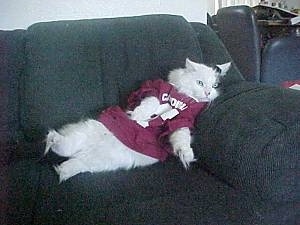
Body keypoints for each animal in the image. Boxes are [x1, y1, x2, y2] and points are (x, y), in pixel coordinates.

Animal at [44, 59, 231, 182]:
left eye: (214, 86)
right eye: (200, 83)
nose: (208, 93)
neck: (183, 97)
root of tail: (89, 149)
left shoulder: (183, 121)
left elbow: (182, 138)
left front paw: (186, 156)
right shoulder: (151, 89)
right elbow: (152, 101)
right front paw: (138, 116)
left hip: (101, 160)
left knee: (74, 160)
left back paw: (62, 170)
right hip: (88, 132)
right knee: (66, 147)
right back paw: (52, 141)